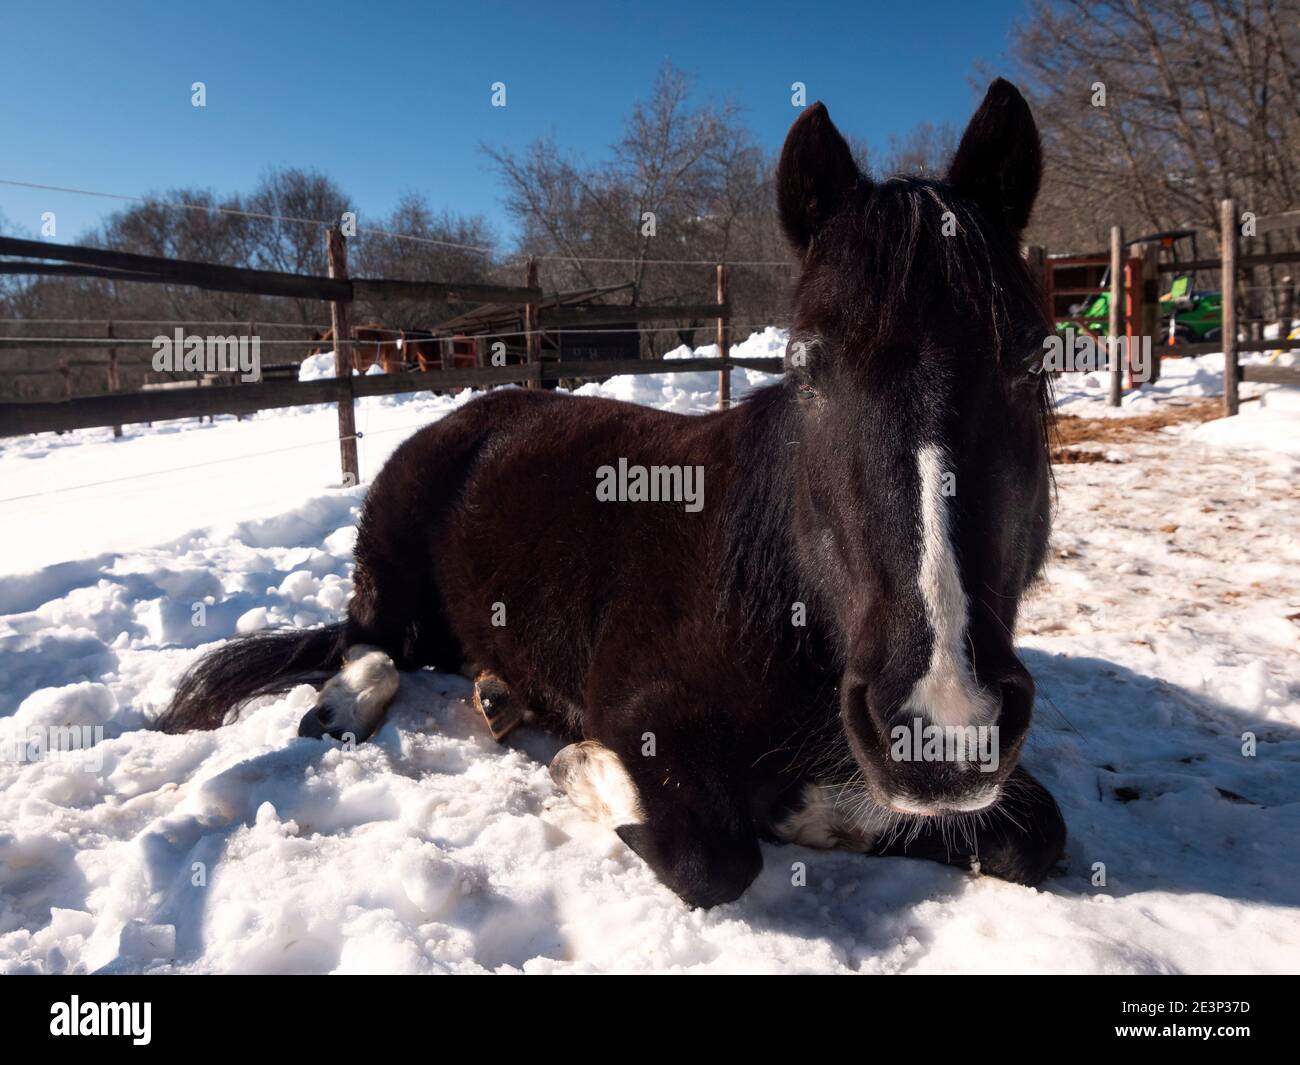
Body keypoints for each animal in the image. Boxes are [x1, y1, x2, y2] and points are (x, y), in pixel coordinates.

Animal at [157, 78, 1060, 910]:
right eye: (806, 367)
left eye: (1030, 359)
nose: (942, 721)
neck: (773, 583)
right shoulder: (638, 703)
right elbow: (710, 855)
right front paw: (591, 767)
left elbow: (1036, 835)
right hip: (389, 570)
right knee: (367, 642)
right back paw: (350, 708)